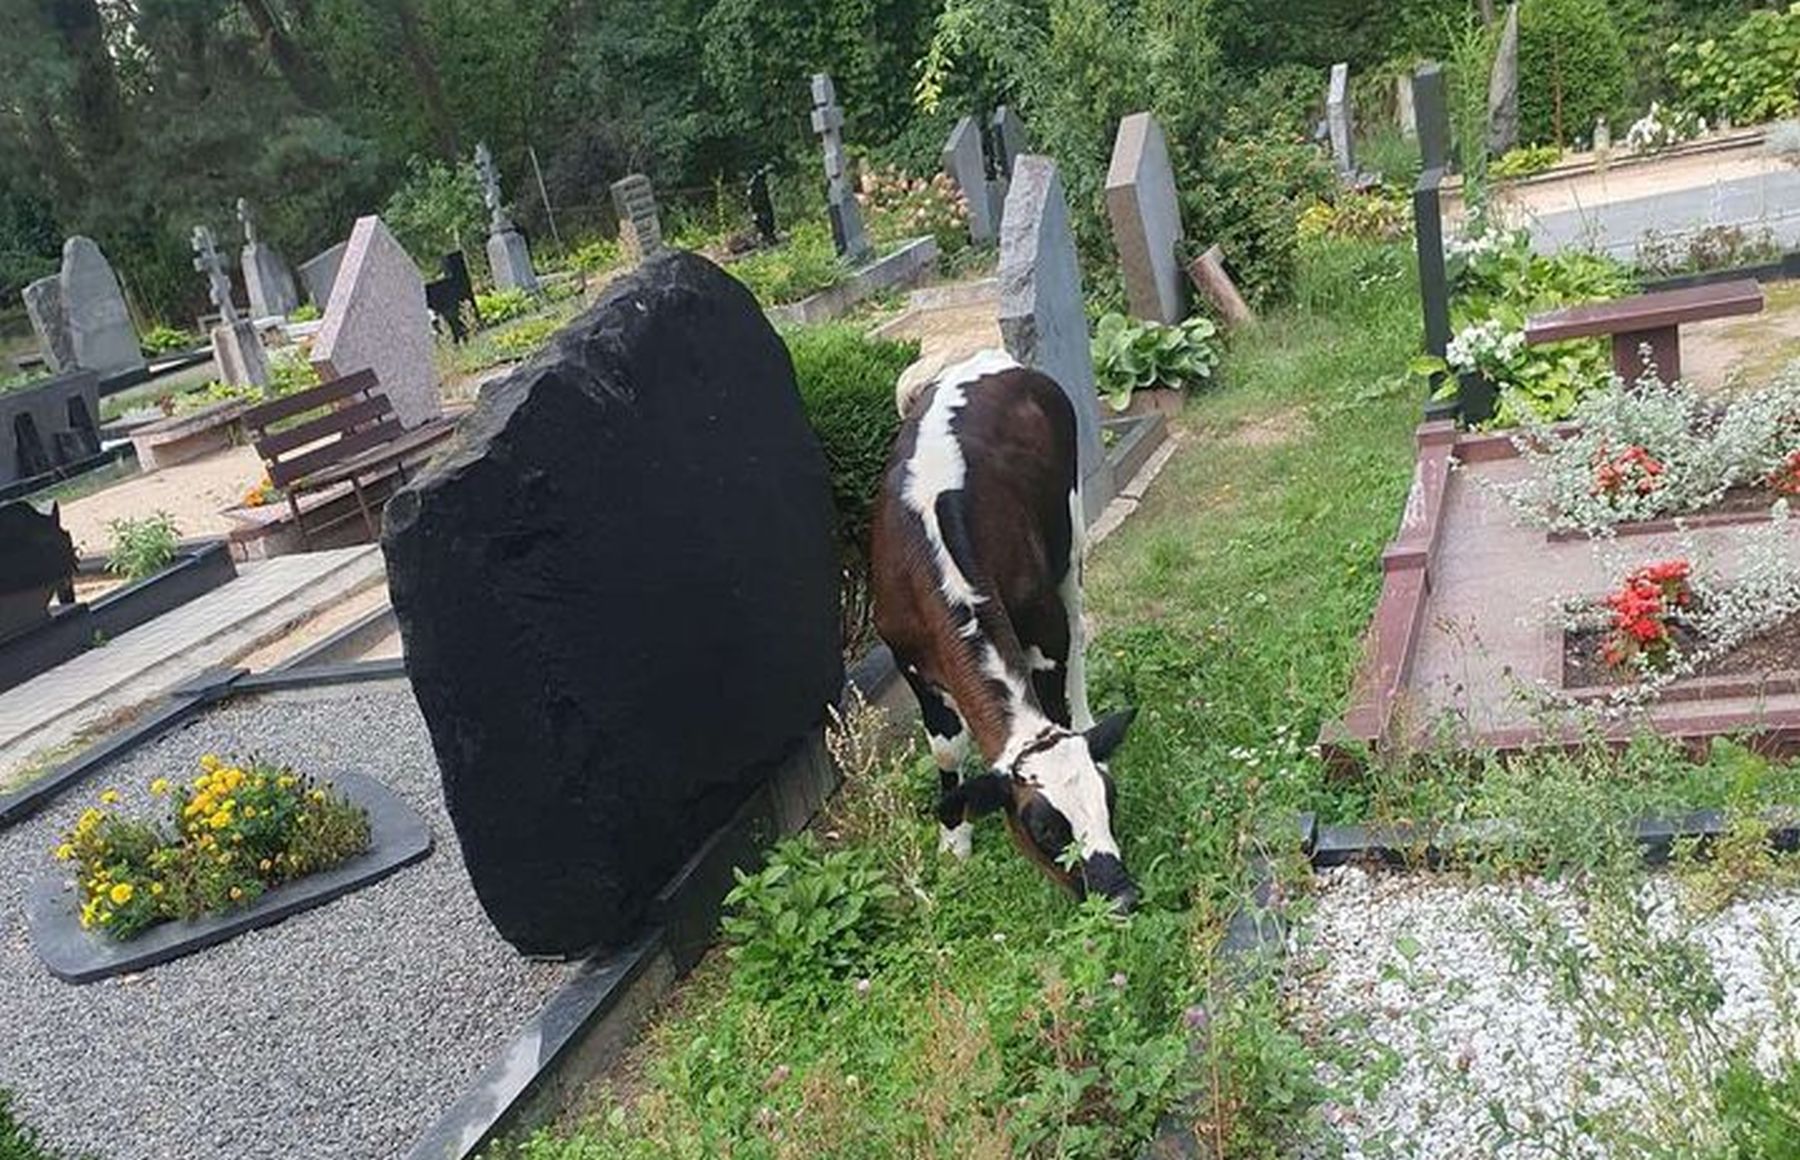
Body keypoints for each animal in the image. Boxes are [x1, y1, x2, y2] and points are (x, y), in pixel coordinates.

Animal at [871, 349, 1137, 911]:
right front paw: (954, 839)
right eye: (1044, 828)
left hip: (1070, 533)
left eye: (1110, 798)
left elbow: (1055, 697)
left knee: (1079, 627)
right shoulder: (905, 657)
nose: (1122, 896)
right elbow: (947, 746)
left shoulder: (1044, 628)